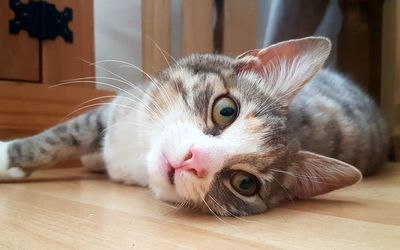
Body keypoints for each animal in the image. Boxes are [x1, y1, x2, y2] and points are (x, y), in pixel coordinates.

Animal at [0, 36, 388, 215]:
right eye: (226, 110)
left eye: (244, 183)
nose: (193, 159)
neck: (137, 155)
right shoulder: (118, 110)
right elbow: (59, 137)